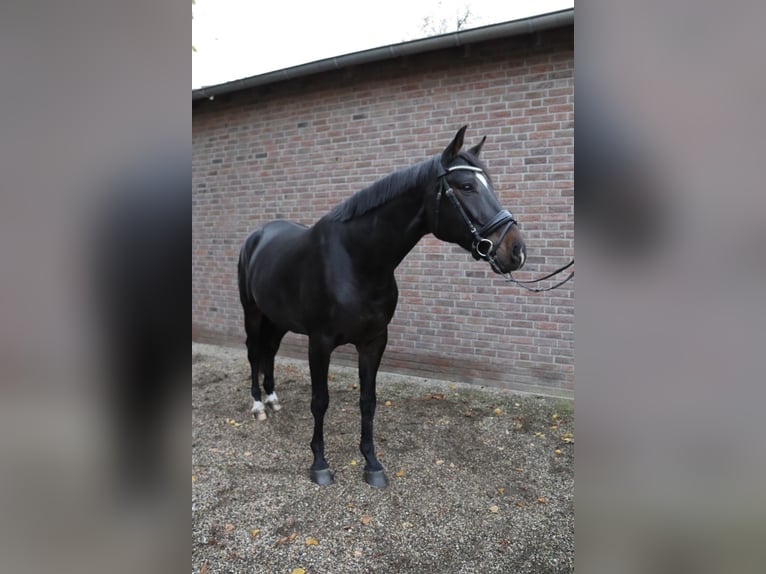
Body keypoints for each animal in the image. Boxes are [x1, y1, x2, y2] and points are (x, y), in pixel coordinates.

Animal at [237, 126, 526, 487]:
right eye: (466, 186)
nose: (516, 250)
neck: (356, 260)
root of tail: (257, 236)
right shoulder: (320, 343)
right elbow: (320, 401)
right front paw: (319, 463)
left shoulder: (374, 341)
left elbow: (368, 401)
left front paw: (372, 463)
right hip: (253, 314)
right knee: (254, 354)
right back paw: (258, 406)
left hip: (278, 319)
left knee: (270, 352)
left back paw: (273, 400)